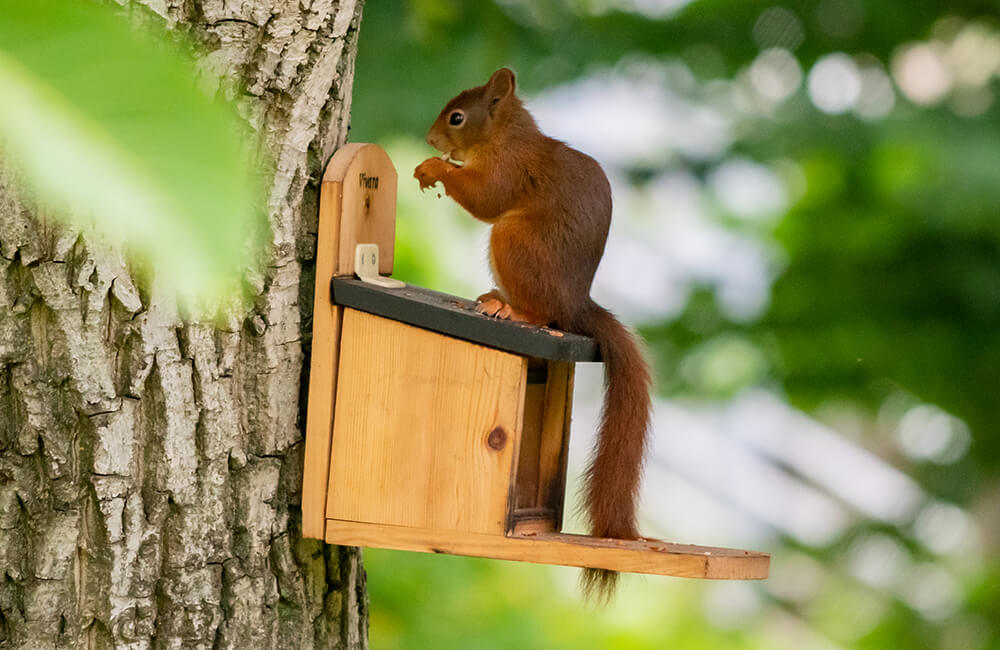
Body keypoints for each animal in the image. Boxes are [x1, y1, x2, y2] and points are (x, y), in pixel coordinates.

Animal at [414, 68, 653, 600]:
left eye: (457, 117)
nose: (431, 139)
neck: (506, 136)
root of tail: (577, 304)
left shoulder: (508, 171)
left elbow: (486, 199)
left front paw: (434, 168)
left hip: (516, 241)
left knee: (543, 311)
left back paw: (513, 310)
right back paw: (492, 297)